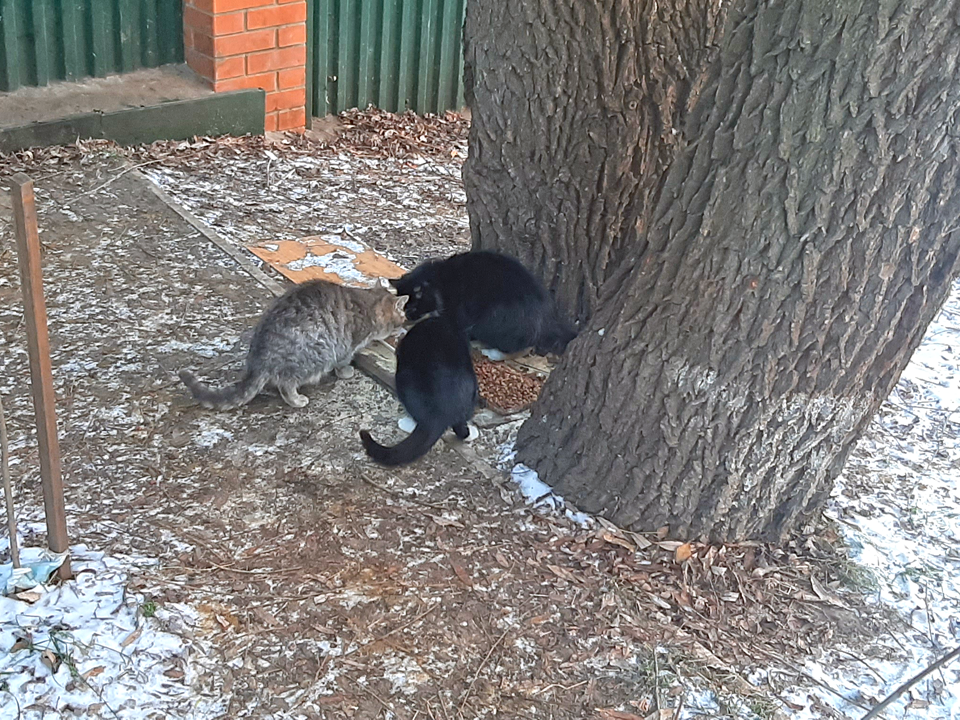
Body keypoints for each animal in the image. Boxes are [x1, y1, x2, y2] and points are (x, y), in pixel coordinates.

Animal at [390, 250, 576, 358]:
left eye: (412, 307)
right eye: (404, 309)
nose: (409, 317)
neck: (441, 282)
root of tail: (548, 321)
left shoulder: (459, 311)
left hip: (492, 318)